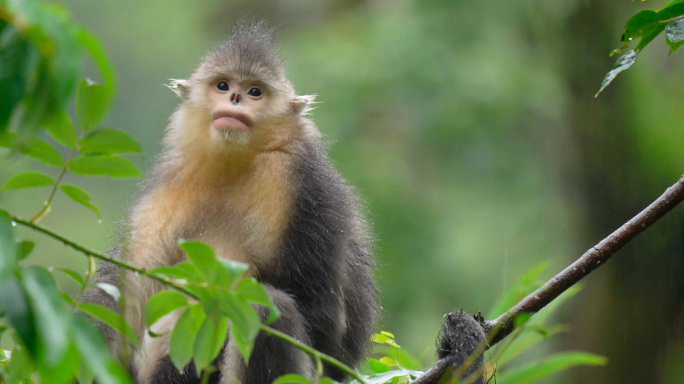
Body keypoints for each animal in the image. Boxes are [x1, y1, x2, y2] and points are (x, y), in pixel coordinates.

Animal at [83, 21, 380, 384]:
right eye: (223, 86)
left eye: (255, 92)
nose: (236, 98)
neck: (234, 164)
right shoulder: (171, 184)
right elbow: (125, 293)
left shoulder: (300, 180)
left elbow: (322, 324)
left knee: (268, 308)